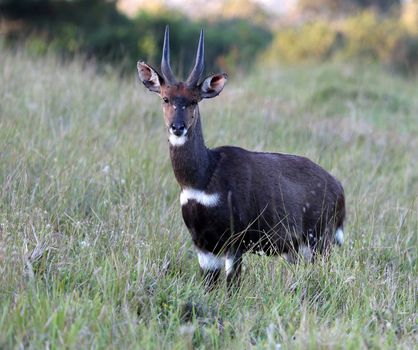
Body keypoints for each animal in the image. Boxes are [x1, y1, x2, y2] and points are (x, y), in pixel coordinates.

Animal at [137, 26, 346, 290]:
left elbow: (231, 287)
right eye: (166, 98)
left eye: (194, 100)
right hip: (297, 249)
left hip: (318, 241)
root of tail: (339, 189)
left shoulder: (235, 240)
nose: (177, 127)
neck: (203, 178)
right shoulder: (203, 244)